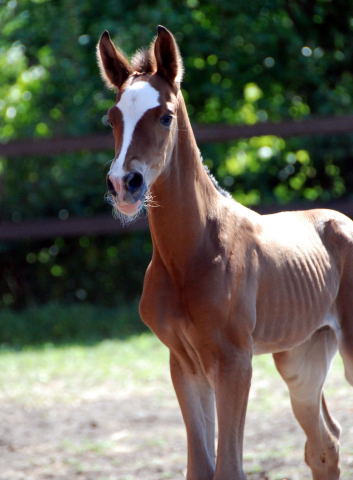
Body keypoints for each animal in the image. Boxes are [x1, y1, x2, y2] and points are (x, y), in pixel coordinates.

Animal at [96, 26, 352, 480]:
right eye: (113, 118)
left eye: (165, 115)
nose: (124, 184)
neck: (190, 253)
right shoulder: (184, 363)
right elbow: (200, 466)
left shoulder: (235, 361)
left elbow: (229, 467)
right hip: (300, 358)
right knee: (325, 445)